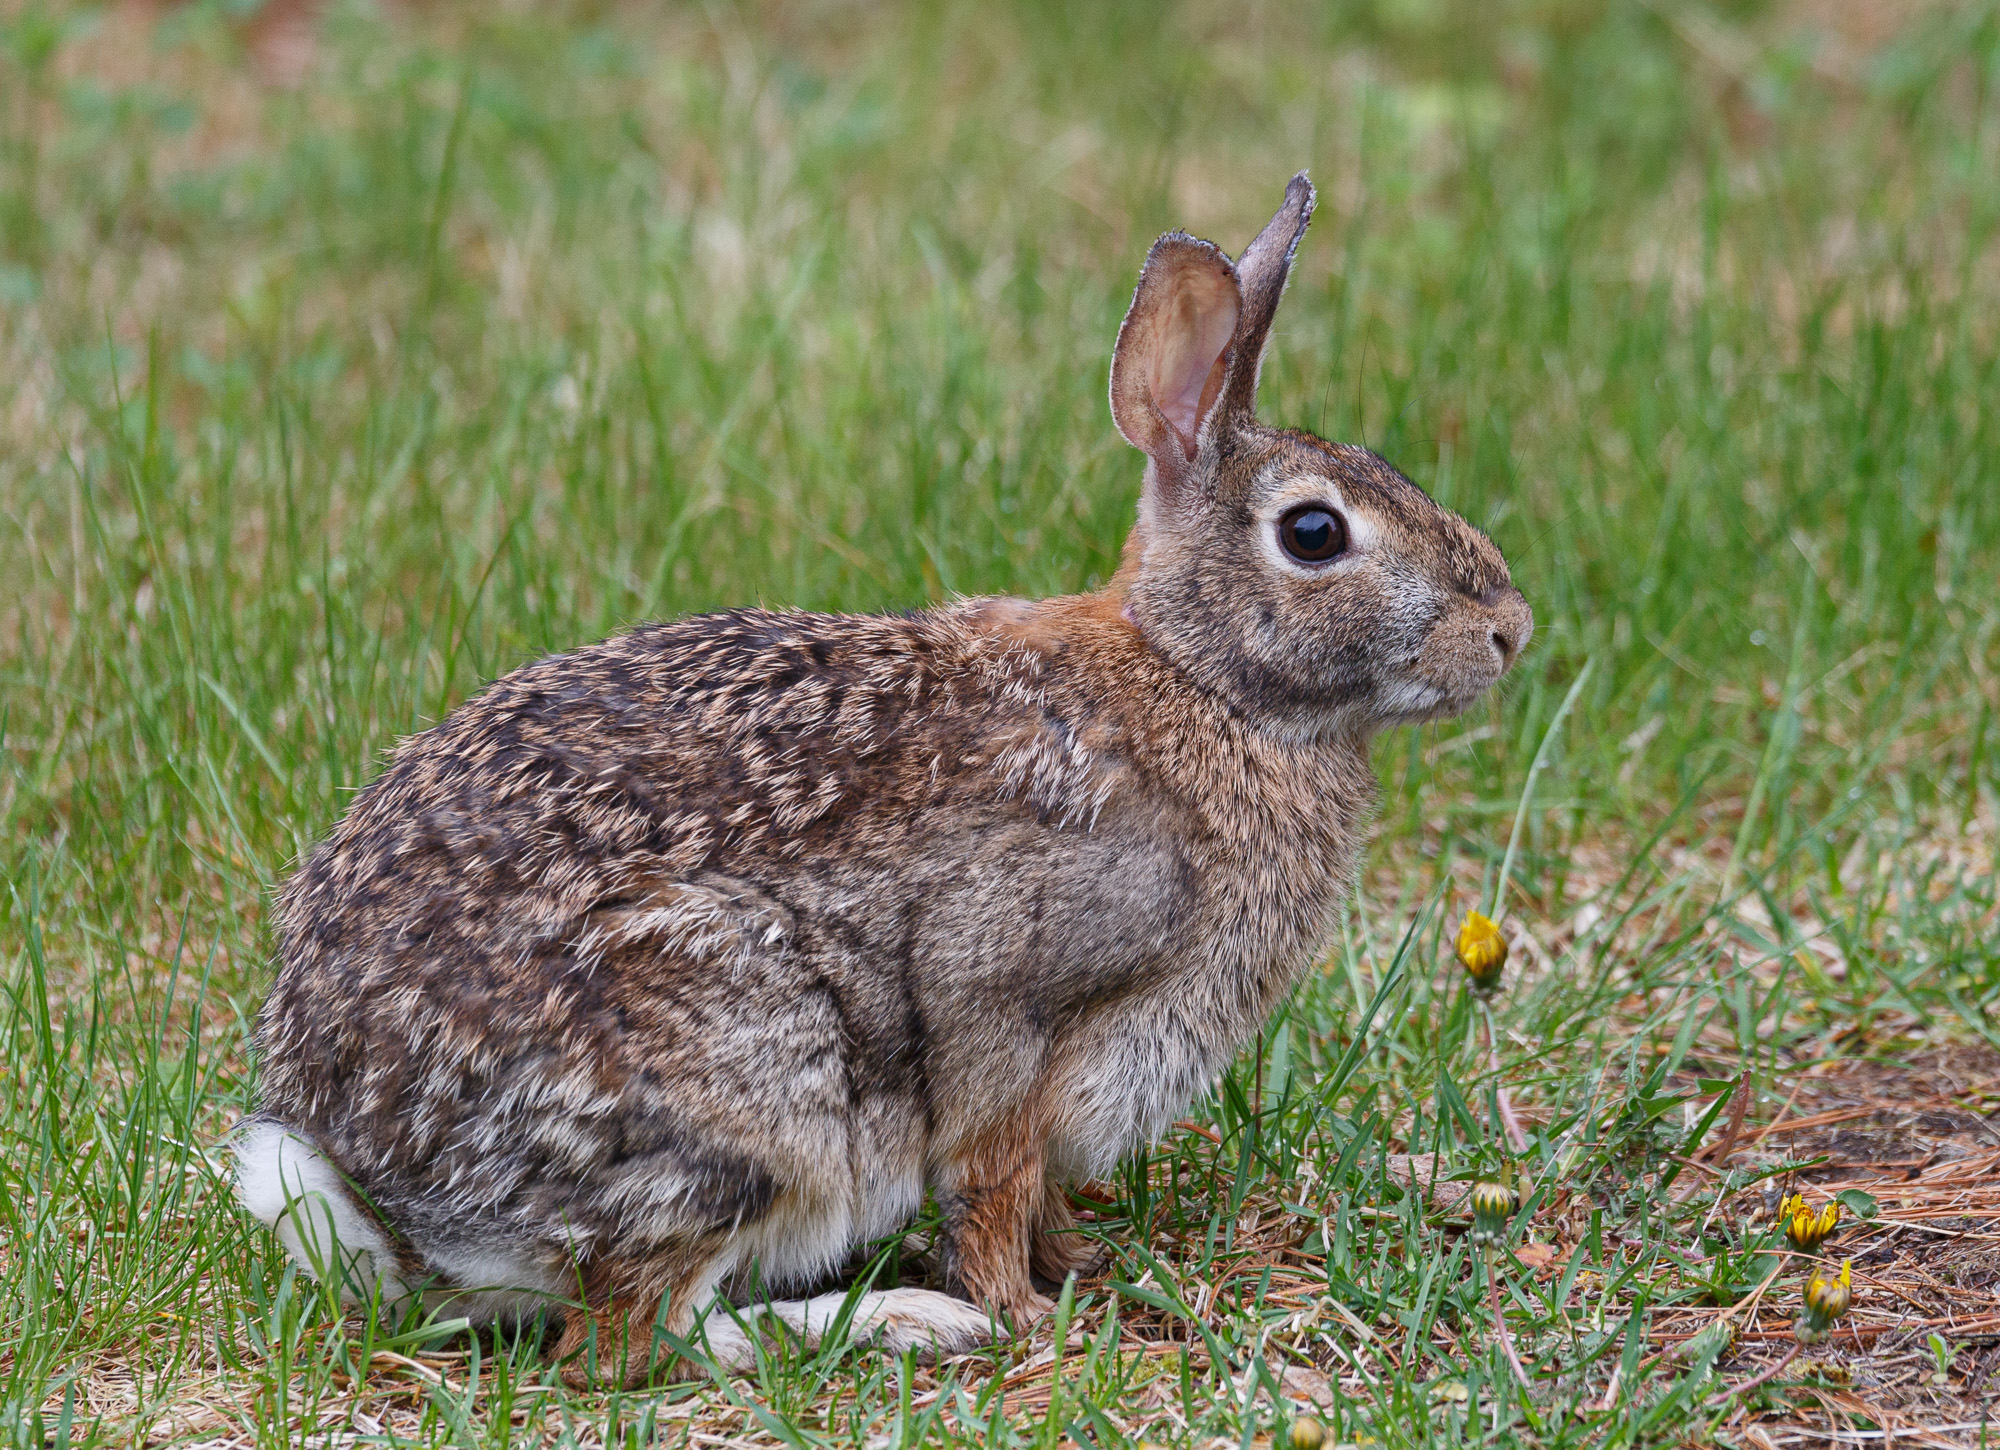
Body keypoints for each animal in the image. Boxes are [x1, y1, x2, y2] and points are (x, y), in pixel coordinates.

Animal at [242, 175, 1536, 1384]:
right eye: (1314, 534)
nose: (1509, 631)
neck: (1196, 678)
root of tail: (403, 1204)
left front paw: (1093, 1264)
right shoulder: (1006, 1006)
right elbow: (992, 1181)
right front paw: (1026, 1314)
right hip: (755, 1096)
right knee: (635, 1340)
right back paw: (903, 1321)